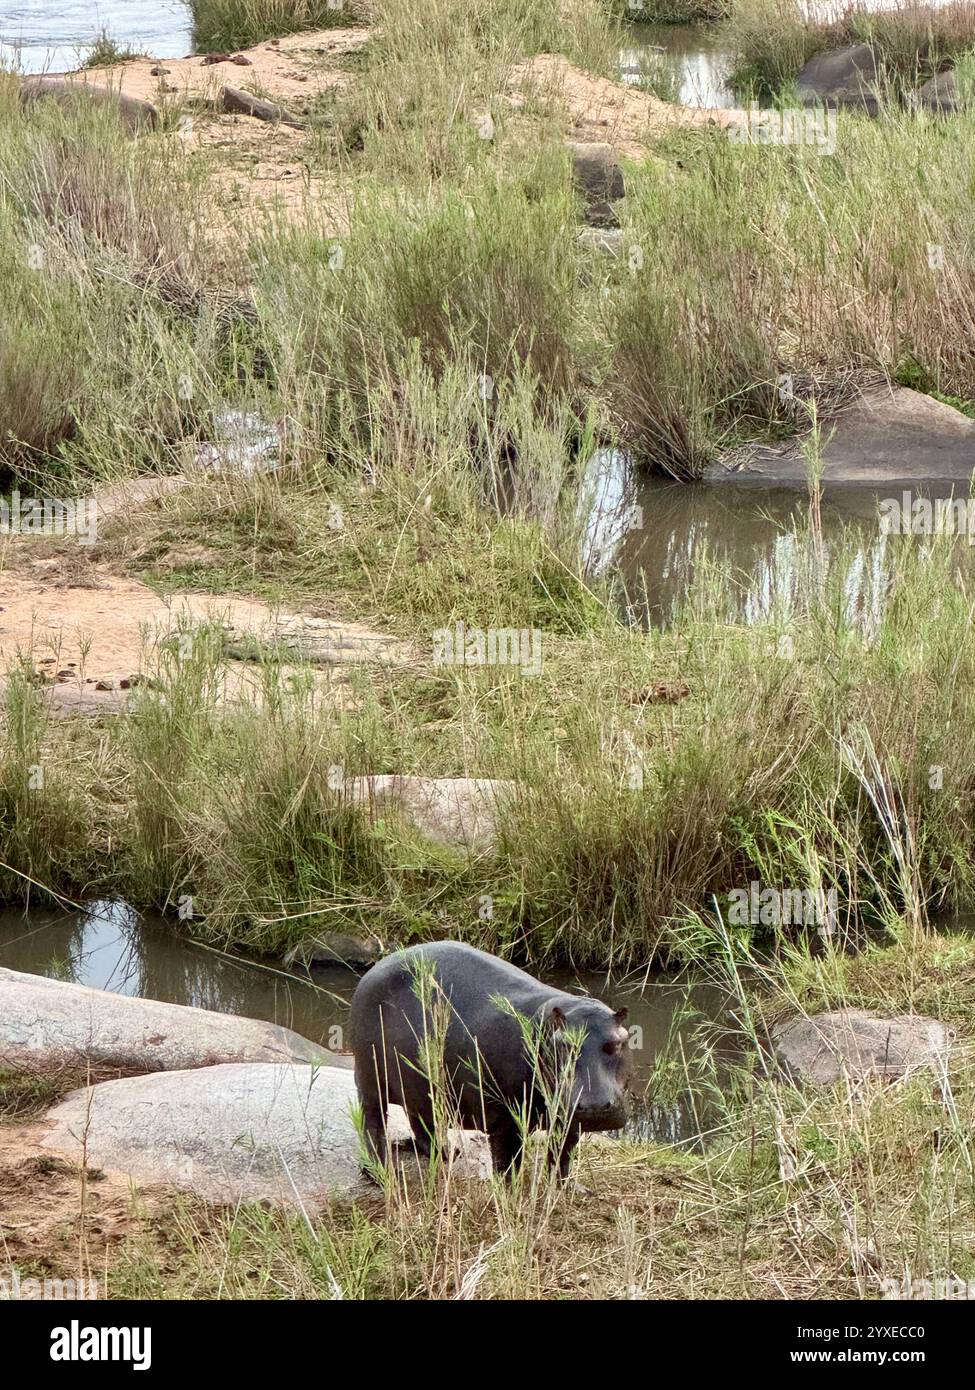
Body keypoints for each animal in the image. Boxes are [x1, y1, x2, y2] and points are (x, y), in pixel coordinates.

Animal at [350, 941, 631, 1179]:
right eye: (562, 1045)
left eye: (617, 1043)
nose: (594, 1106)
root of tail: (371, 971)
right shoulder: (507, 1119)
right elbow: (508, 1164)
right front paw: (510, 1193)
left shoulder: (566, 1121)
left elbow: (562, 1157)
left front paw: (565, 1187)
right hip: (370, 1079)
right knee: (373, 1125)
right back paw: (381, 1173)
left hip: (420, 1081)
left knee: (420, 1118)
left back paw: (447, 1154)